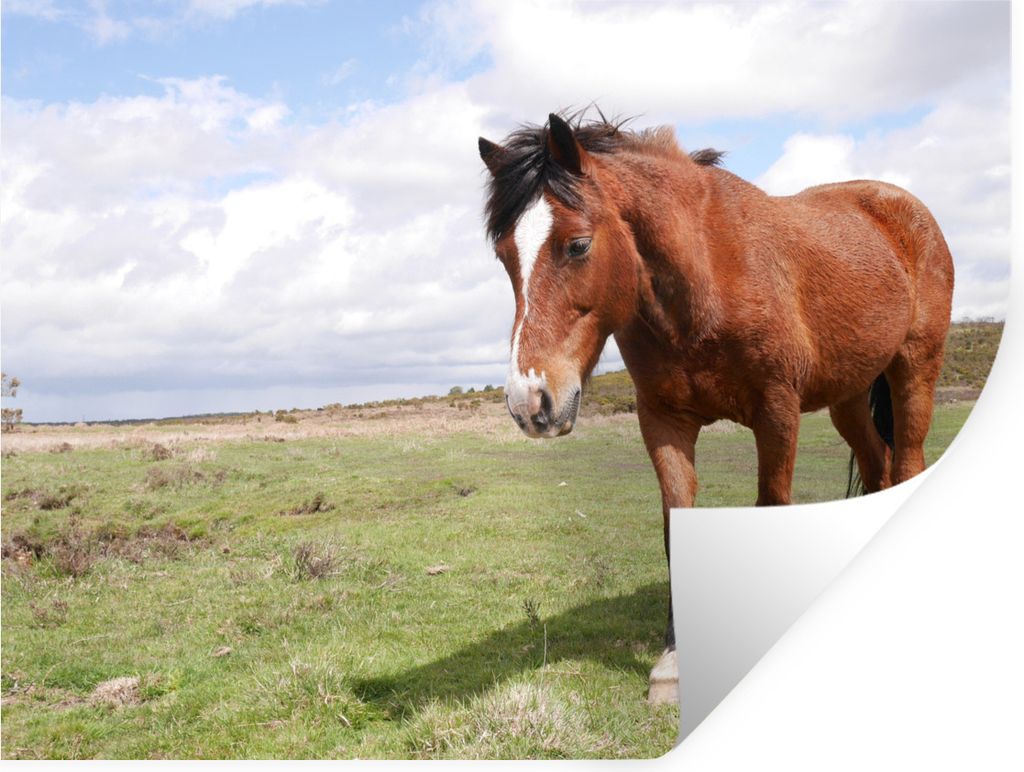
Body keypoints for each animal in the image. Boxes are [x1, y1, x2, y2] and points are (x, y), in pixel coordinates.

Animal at [477, 112, 954, 704]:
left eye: (578, 245)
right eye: (505, 255)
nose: (529, 403)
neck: (705, 280)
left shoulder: (777, 412)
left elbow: (771, 505)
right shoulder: (663, 421)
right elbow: (673, 524)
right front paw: (674, 664)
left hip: (914, 371)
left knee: (907, 459)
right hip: (847, 397)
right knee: (878, 465)